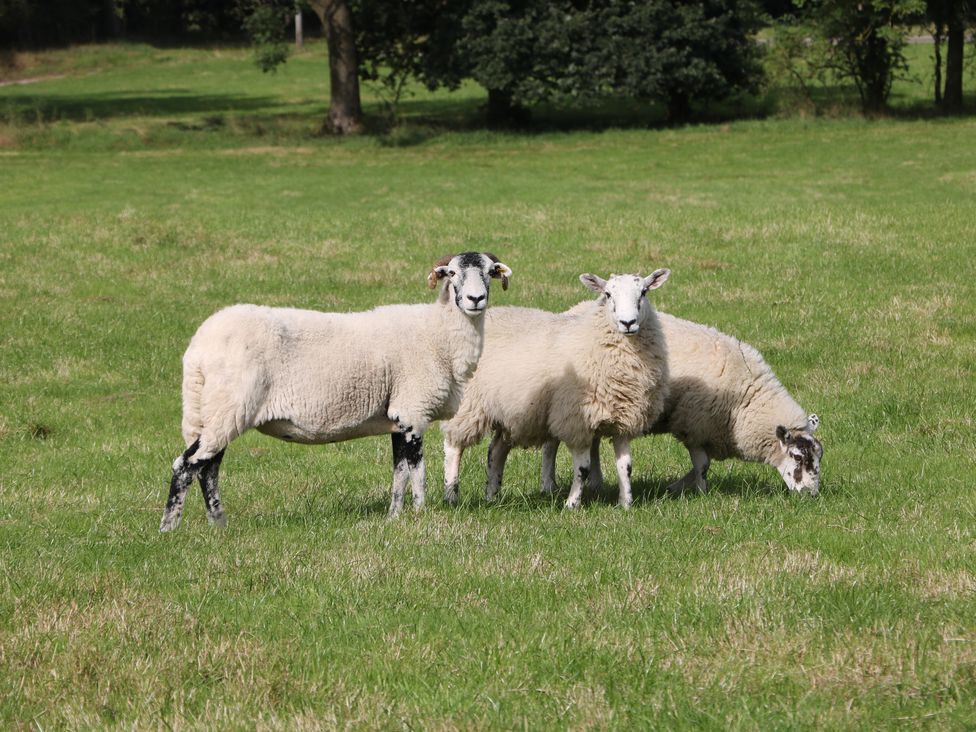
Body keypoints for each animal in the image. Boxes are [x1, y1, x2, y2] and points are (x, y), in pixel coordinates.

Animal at [442, 268, 672, 508]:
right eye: (608, 294)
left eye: (644, 292)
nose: (628, 323)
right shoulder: (576, 419)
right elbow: (583, 468)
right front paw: (572, 504)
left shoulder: (624, 420)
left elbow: (625, 466)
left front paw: (626, 504)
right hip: (468, 404)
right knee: (453, 446)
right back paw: (451, 495)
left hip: (508, 411)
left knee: (496, 451)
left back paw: (492, 496)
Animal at [540, 308, 824, 498]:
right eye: (797, 457)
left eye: (818, 456)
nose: (811, 494)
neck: (747, 399)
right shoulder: (695, 423)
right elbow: (703, 465)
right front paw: (698, 491)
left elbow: (704, 464)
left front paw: (678, 486)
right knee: (551, 444)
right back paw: (549, 485)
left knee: (594, 442)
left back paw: (597, 483)